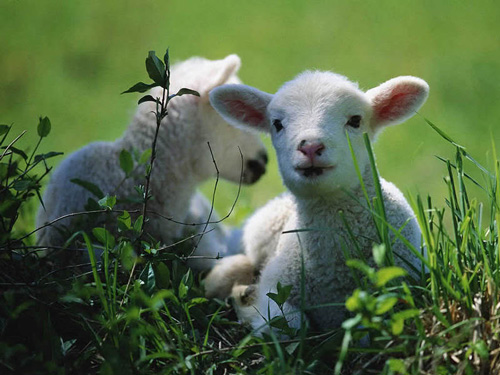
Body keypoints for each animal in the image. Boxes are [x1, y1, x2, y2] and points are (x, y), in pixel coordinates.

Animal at [205, 70, 428, 332]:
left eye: (355, 120)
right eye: (277, 124)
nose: (310, 146)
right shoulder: (275, 286)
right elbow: (289, 324)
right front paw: (248, 306)